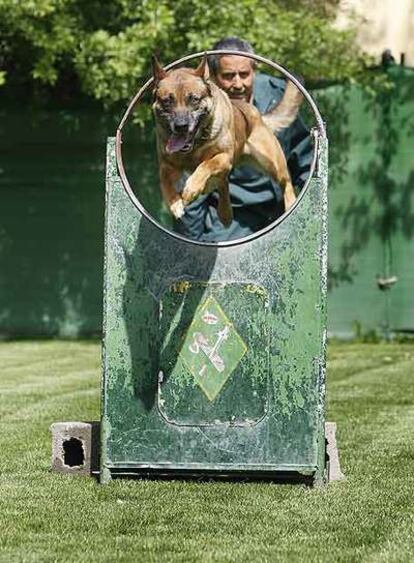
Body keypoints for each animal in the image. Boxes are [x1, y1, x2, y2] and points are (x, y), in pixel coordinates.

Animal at [154, 55, 302, 227]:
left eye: (194, 99)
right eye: (167, 101)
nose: (181, 126)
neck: (195, 146)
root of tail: (257, 114)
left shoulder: (224, 157)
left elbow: (206, 165)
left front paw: (192, 188)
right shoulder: (166, 166)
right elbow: (165, 184)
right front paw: (175, 204)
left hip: (273, 165)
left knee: (286, 183)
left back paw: (290, 203)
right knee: (223, 185)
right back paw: (225, 213)